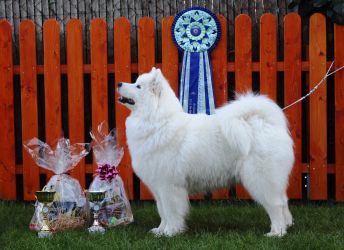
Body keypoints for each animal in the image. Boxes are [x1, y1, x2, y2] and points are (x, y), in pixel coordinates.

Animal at [117, 66, 292, 236]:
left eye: (138, 86)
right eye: (135, 82)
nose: (119, 83)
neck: (157, 121)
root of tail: (266, 123)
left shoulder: (168, 186)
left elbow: (171, 212)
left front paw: (170, 232)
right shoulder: (158, 187)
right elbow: (163, 212)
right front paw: (160, 231)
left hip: (261, 179)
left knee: (275, 205)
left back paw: (276, 232)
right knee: (283, 202)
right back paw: (286, 226)